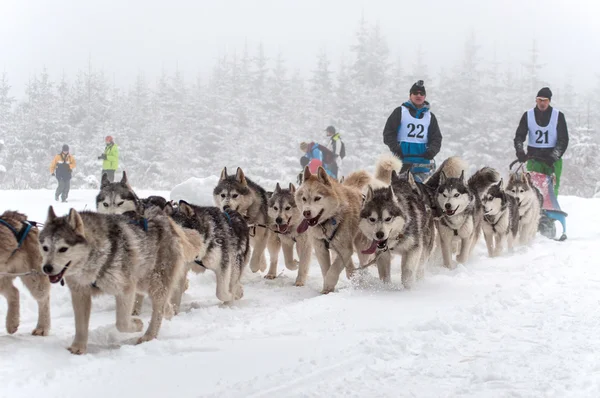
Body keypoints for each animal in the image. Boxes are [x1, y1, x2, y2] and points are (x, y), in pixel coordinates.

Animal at [39, 207, 192, 352]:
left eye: (63, 249)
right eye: (45, 248)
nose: (47, 268)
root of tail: (165, 218)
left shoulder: (125, 290)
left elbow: (121, 323)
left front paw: (137, 324)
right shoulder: (80, 294)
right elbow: (80, 325)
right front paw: (78, 348)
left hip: (154, 282)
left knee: (158, 309)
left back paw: (149, 336)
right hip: (142, 281)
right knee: (163, 304)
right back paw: (169, 312)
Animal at [296, 166, 366, 294]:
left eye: (317, 198)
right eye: (304, 198)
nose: (306, 212)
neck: (326, 223)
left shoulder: (345, 250)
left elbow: (333, 270)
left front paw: (328, 285)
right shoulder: (320, 249)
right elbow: (326, 270)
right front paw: (327, 289)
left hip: (361, 245)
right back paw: (351, 274)